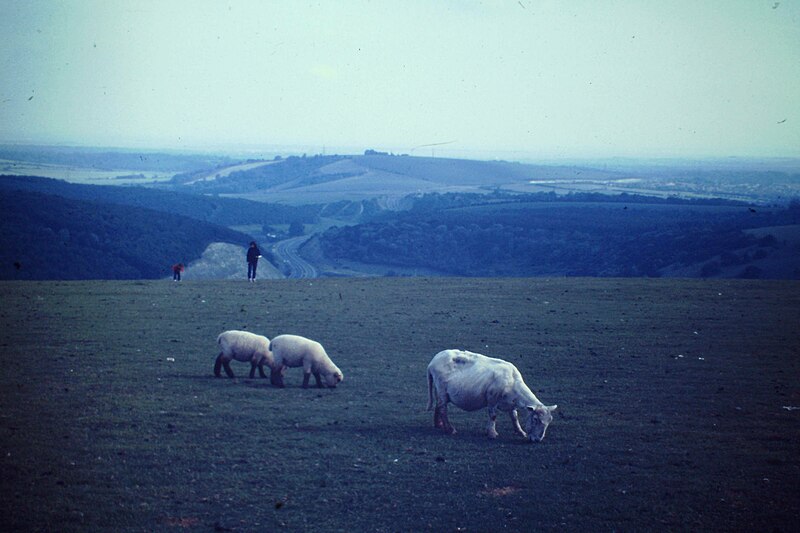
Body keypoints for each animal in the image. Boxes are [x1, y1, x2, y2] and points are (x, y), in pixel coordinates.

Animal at [424, 350, 556, 440]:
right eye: (535, 419)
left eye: (549, 421)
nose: (537, 440)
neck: (513, 382)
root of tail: (432, 362)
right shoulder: (492, 399)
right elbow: (493, 416)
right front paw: (492, 433)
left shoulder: (511, 403)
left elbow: (514, 417)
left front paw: (520, 432)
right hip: (441, 389)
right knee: (442, 408)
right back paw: (450, 429)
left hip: (439, 390)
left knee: (439, 405)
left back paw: (439, 425)